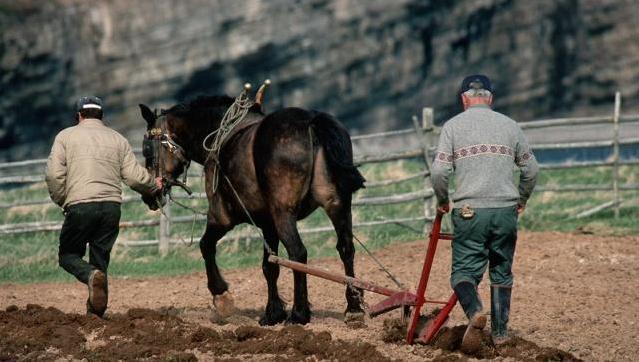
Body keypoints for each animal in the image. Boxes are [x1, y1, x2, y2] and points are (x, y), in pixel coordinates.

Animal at [141, 96, 368, 326]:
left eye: (147, 150)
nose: (149, 195)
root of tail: (311, 120)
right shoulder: (268, 225)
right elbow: (270, 266)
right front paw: (273, 313)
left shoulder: (221, 218)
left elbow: (206, 246)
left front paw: (221, 296)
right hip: (337, 205)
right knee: (346, 248)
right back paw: (353, 307)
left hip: (284, 214)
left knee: (297, 253)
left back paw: (299, 314)